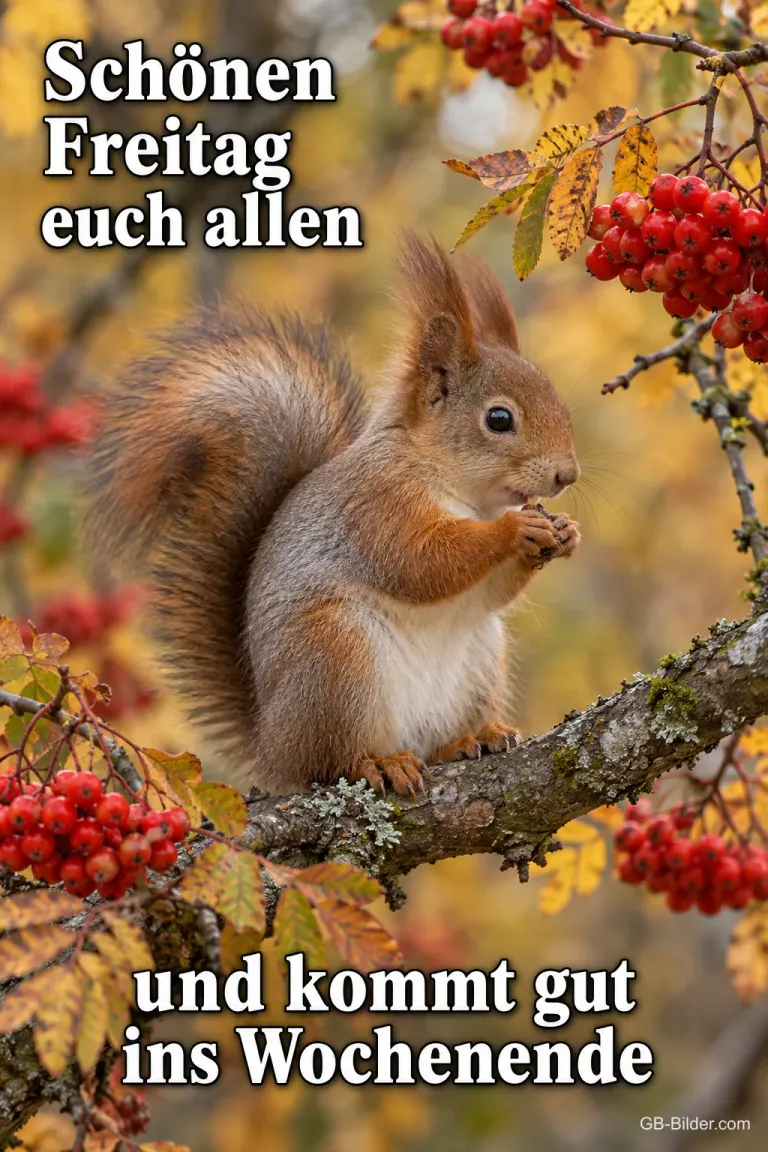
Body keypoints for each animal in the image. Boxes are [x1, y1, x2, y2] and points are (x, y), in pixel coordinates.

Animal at [86, 233, 580, 798]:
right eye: (499, 419)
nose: (568, 474)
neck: (460, 490)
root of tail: (273, 750)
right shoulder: (376, 504)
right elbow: (421, 563)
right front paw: (515, 528)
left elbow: (489, 592)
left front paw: (565, 534)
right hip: (336, 658)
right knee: (331, 761)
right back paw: (379, 764)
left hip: (477, 660)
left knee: (434, 741)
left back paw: (471, 739)